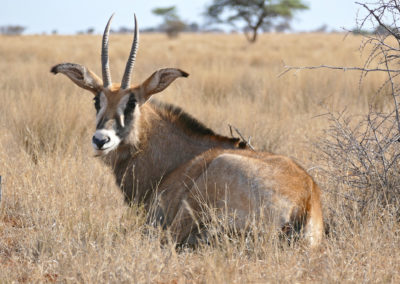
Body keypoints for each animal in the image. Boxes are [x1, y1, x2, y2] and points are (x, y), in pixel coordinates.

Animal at [50, 14, 324, 247]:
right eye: (97, 101)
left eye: (132, 103)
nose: (101, 140)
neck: (173, 159)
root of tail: (306, 199)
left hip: (201, 192)